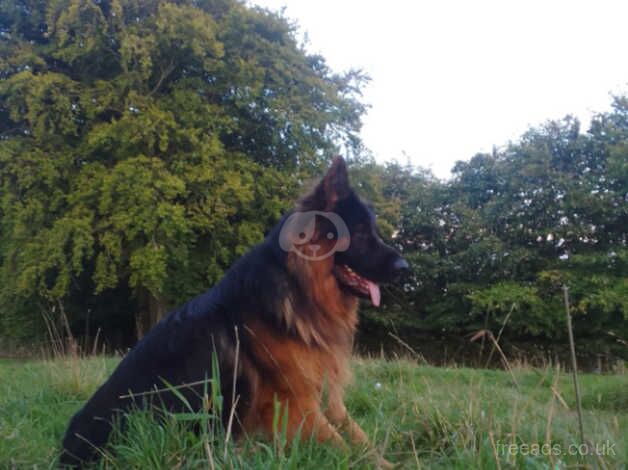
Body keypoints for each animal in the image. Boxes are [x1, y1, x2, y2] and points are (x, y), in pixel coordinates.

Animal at [61, 158, 410, 466]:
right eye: (361, 233)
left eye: (374, 231)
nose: (405, 268)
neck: (297, 288)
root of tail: (65, 450)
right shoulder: (296, 403)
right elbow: (346, 450)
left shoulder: (329, 400)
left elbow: (361, 440)